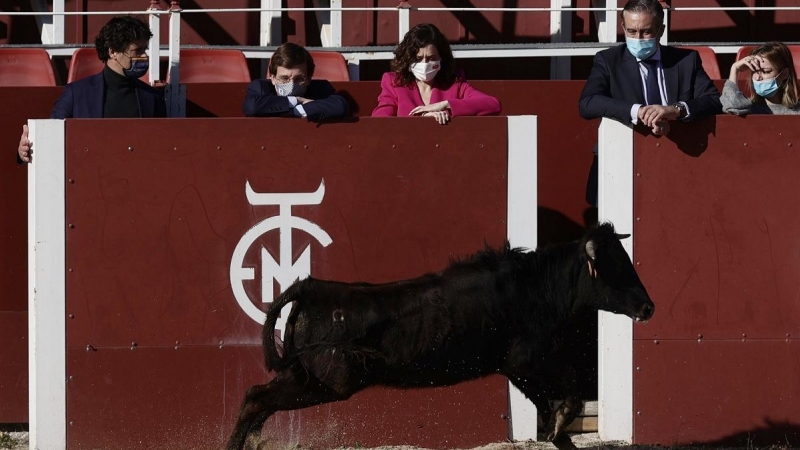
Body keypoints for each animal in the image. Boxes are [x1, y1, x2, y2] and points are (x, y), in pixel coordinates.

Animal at [228, 223, 652, 448]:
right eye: (615, 267)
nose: (648, 307)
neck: (536, 287)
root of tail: (310, 288)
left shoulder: (518, 371)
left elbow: (554, 418)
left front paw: (557, 428)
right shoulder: (529, 360)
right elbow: (570, 394)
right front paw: (563, 418)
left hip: (305, 376)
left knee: (255, 399)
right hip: (327, 383)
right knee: (255, 399)